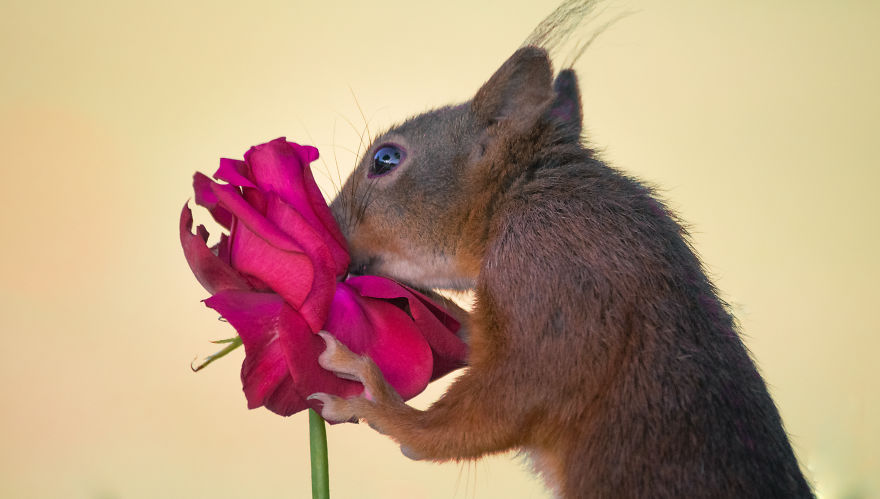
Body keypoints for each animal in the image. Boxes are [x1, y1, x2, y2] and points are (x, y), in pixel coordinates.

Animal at [309, 3, 815, 497]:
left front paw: (372, 395)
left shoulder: (552, 273)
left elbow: (495, 407)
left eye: (385, 159)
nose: (330, 224)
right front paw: (451, 313)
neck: (516, 195)